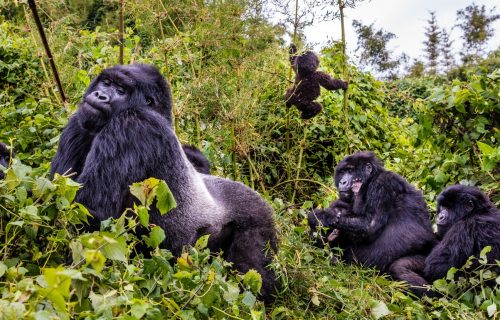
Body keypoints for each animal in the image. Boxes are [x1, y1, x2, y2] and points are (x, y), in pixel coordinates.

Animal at [50, 64, 278, 302]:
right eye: (106, 83)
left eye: (121, 90)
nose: (100, 95)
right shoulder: (81, 119)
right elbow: (60, 196)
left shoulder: (134, 123)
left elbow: (89, 210)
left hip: (259, 218)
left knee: (255, 276)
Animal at [306, 151, 436, 292]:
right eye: (342, 172)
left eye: (350, 171)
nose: (342, 181)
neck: (369, 180)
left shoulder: (383, 183)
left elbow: (370, 227)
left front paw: (320, 216)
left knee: (399, 268)